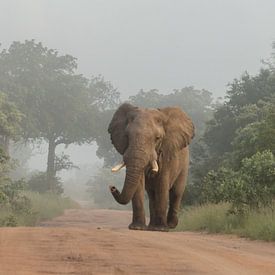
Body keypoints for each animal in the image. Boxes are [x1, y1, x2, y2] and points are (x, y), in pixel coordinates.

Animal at [108, 102, 194, 232]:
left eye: (157, 138)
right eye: (127, 136)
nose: (112, 188)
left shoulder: (166, 153)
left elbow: (162, 184)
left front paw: (161, 229)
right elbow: (139, 184)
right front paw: (137, 228)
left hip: (184, 165)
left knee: (176, 192)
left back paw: (170, 225)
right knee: (152, 194)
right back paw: (152, 226)